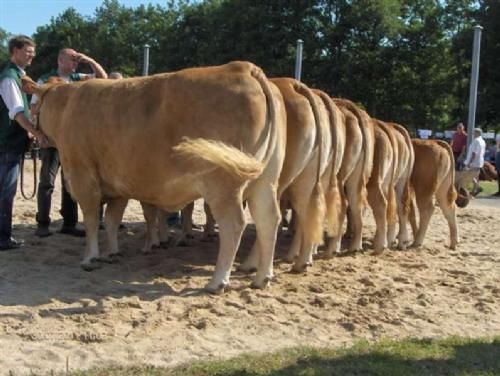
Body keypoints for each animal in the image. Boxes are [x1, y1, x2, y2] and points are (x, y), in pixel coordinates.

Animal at [23, 60, 288, 292]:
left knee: (234, 225)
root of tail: (243, 67)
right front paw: (112, 253)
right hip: (265, 181)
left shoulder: (83, 177)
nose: (31, 136)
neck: (67, 106)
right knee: (268, 220)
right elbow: (111, 220)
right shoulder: (117, 185)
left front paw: (90, 257)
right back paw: (262, 278)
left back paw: (217, 281)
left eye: (33, 102)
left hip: (223, 183)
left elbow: (90, 220)